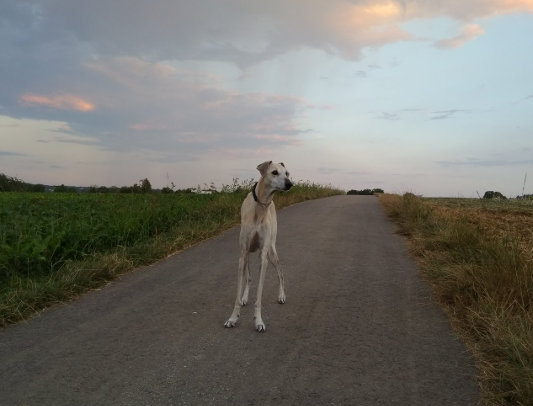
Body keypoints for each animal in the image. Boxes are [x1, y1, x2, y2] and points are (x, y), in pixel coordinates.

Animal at [224, 161, 293, 332]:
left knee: (280, 273)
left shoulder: (264, 257)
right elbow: (240, 289)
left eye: (287, 173)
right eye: (274, 172)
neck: (260, 207)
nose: (290, 184)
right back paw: (245, 297)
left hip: (272, 252)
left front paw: (258, 320)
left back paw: (281, 295)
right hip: (247, 254)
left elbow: (259, 295)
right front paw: (233, 318)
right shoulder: (242, 254)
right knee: (248, 277)